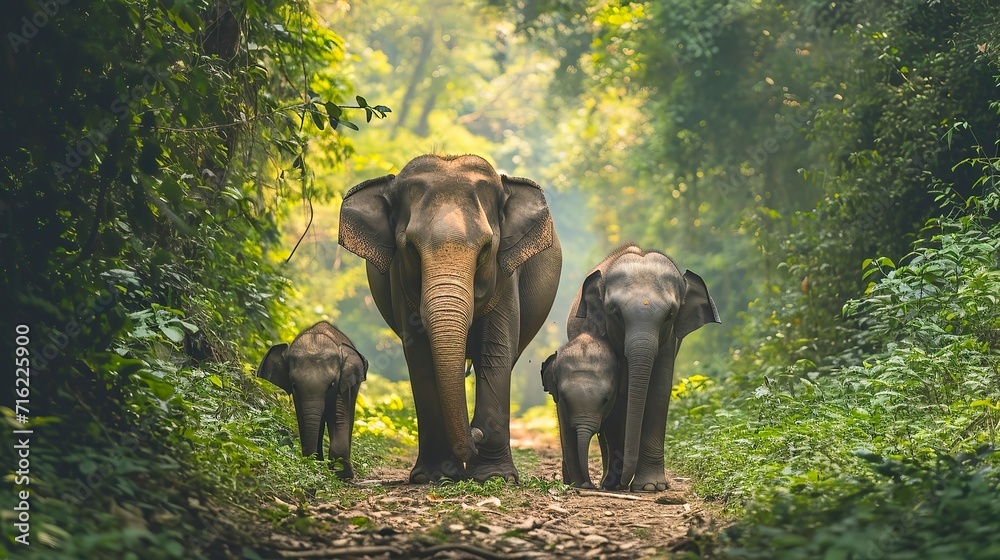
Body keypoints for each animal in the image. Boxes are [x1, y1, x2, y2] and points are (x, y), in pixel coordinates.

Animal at [257, 321, 368, 479]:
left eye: (332, 384)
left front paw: (342, 474)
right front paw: (319, 466)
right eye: (294, 385)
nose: (310, 461)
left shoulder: (343, 385)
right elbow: (303, 419)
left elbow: (339, 417)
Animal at [338, 154, 562, 484]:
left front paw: (495, 477)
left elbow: (495, 351)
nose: (475, 432)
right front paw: (432, 477)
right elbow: (419, 357)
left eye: (486, 249)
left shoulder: (507, 275)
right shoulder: (399, 283)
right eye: (410, 248)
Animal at [541, 332, 619, 489]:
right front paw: (576, 484)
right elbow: (567, 432)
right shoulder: (560, 405)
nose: (590, 484)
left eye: (605, 400)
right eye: (564, 398)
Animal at [567, 243, 720, 492]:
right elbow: (617, 401)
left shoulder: (669, 342)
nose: (623, 482)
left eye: (670, 314)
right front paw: (617, 483)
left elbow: (658, 390)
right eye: (615, 312)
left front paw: (651, 486)